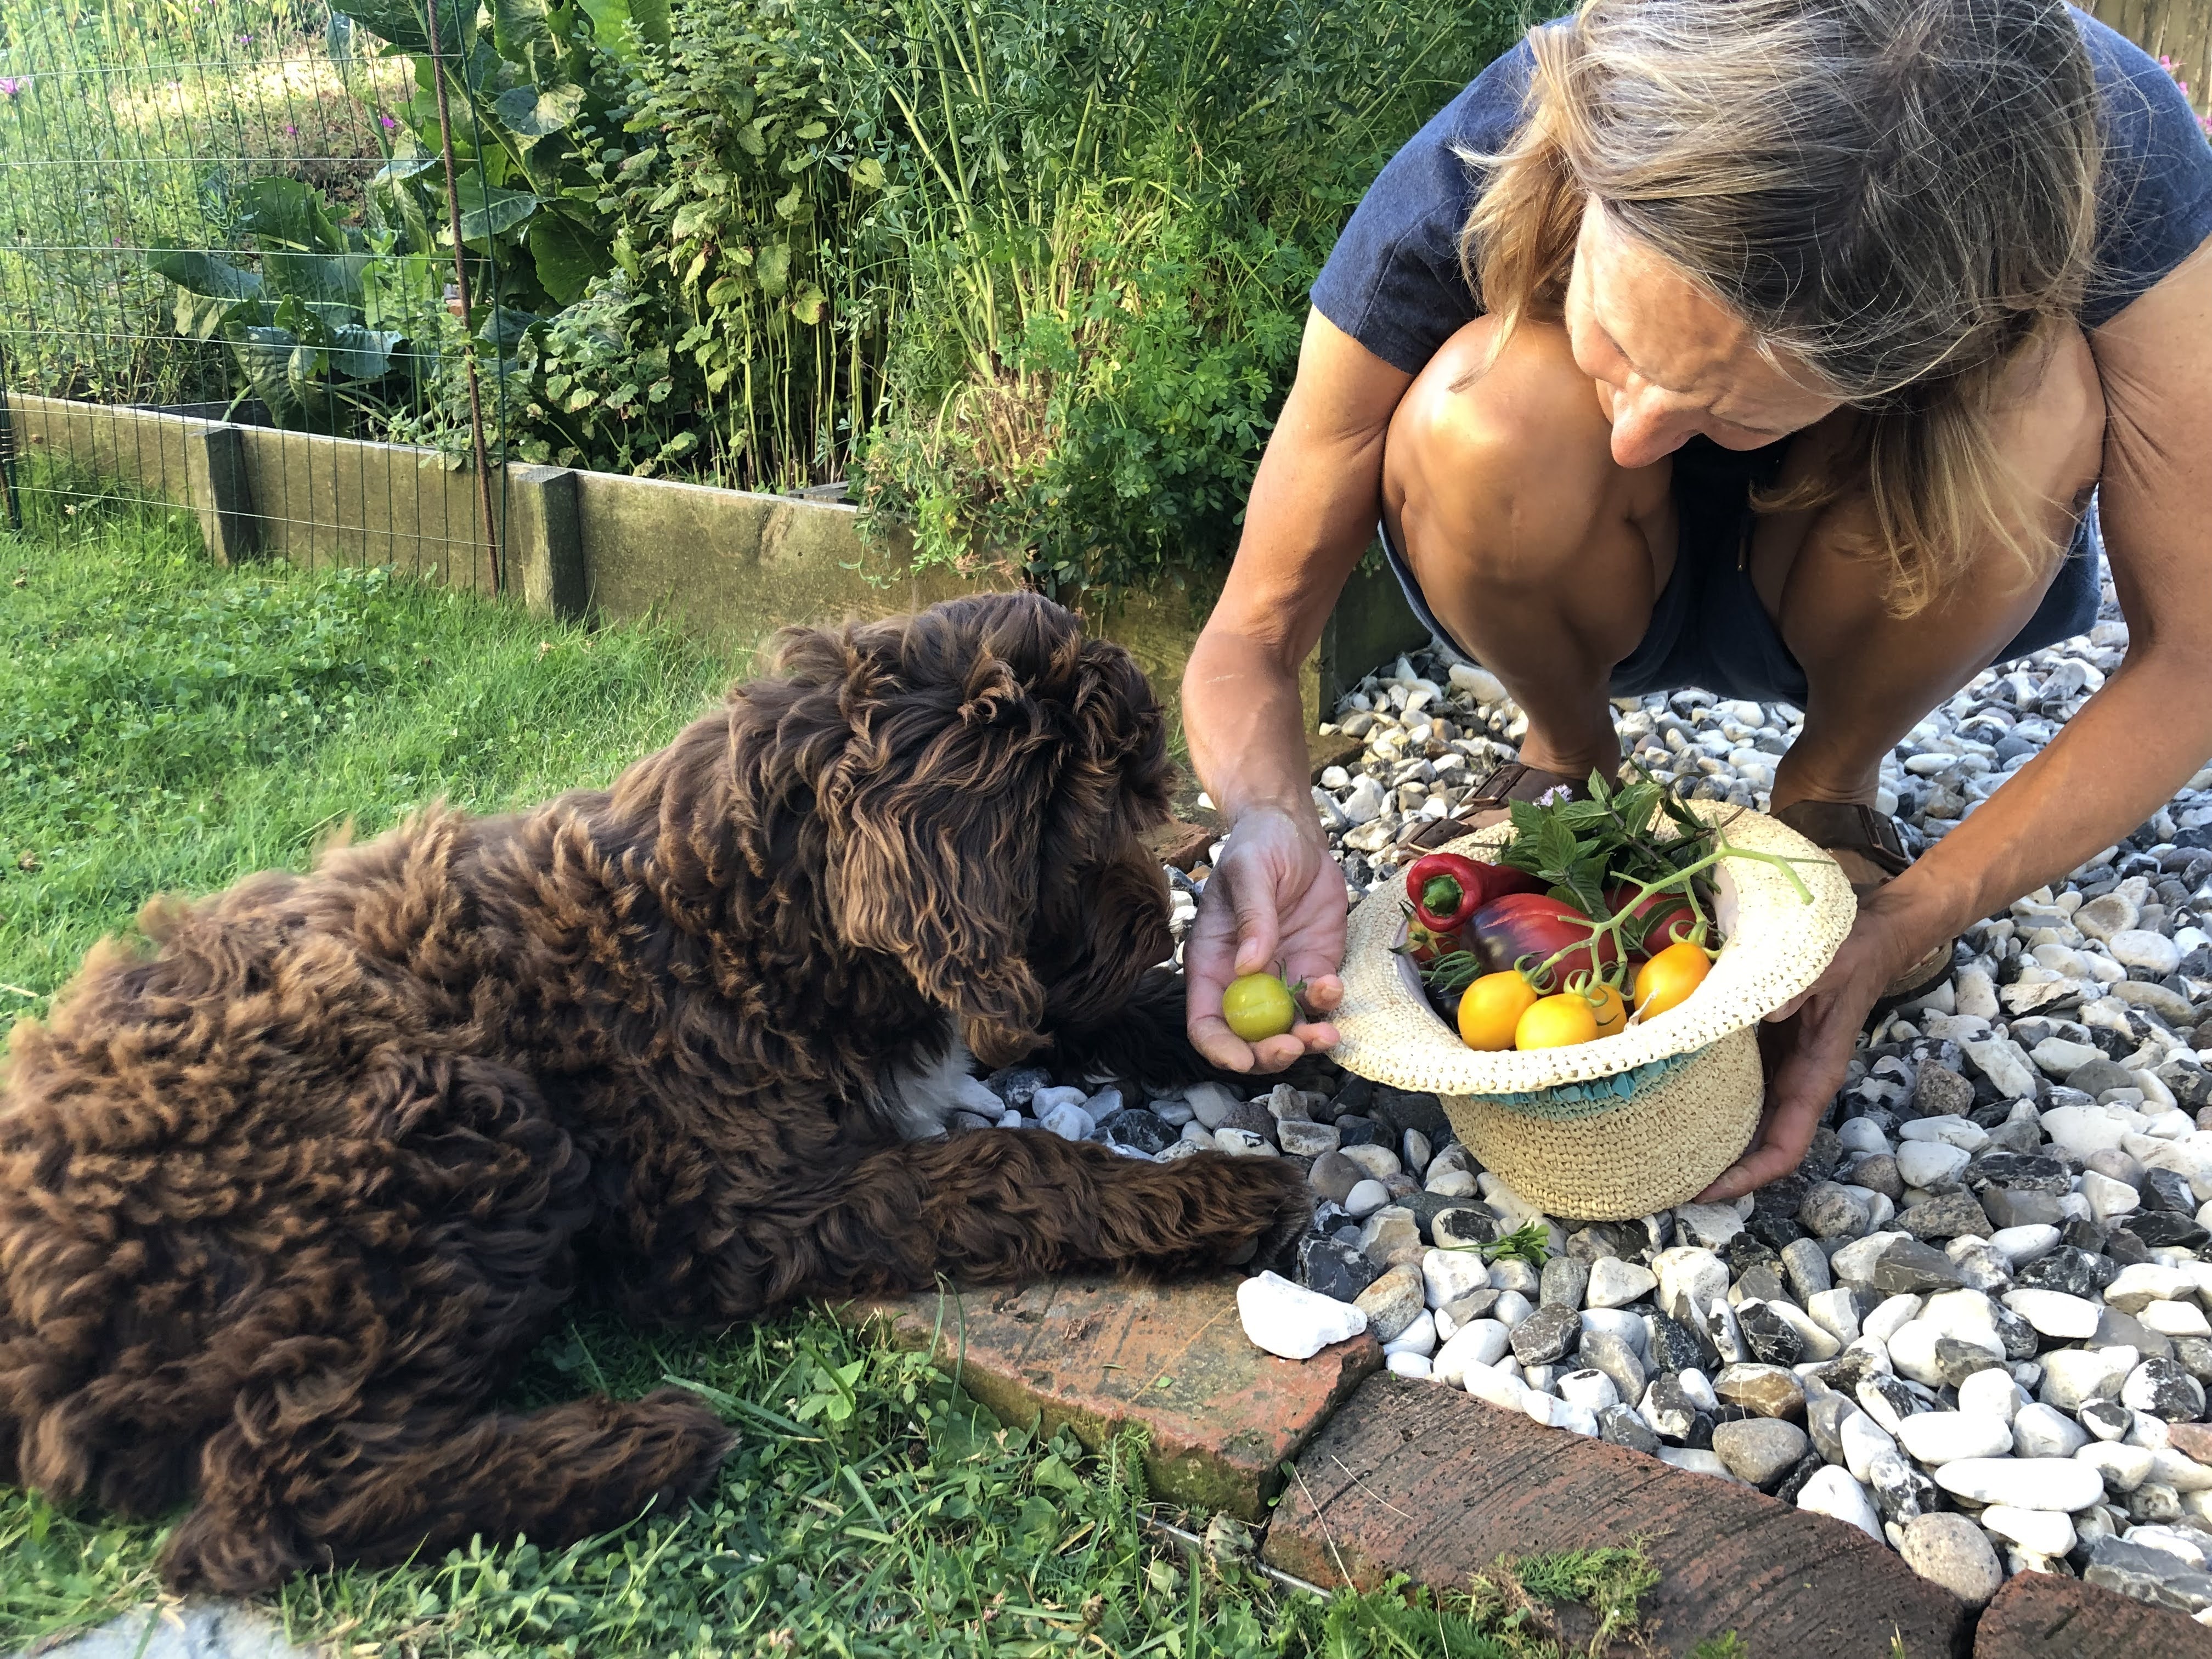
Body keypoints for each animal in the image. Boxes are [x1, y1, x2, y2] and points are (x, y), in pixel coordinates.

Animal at [0, 592, 1306, 1593]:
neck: (754, 910)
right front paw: (1210, 1197)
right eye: (1098, 819)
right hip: (452, 1119)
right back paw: (637, 1446)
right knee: (261, 1505)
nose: (1152, 930)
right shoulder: (740, 1210)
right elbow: (1003, 1160)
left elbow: (1083, 1022)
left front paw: (1253, 1033)